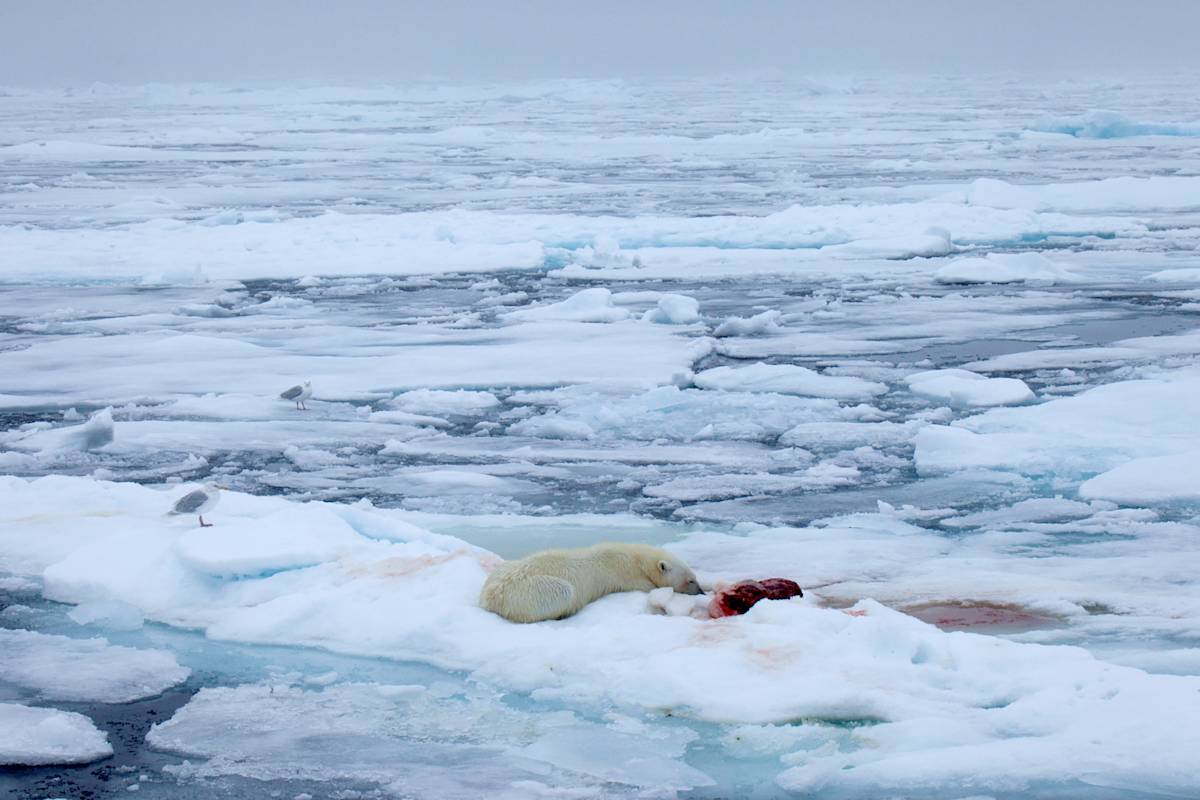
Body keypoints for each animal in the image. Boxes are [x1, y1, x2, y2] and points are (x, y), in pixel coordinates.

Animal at [479, 542, 703, 623]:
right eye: (691, 580)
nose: (700, 592)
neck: (635, 559)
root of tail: (488, 597)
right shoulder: (627, 576)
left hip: (501, 571)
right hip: (527, 591)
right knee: (564, 591)